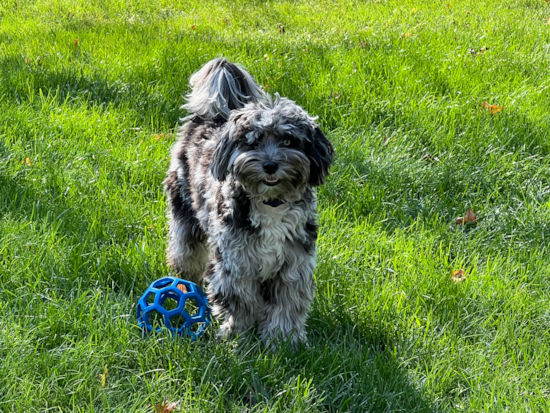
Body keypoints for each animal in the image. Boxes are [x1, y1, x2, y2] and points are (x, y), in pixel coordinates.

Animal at [164, 57, 334, 344]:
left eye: (288, 140)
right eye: (252, 142)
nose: (270, 165)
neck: (271, 203)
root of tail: (209, 116)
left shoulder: (293, 265)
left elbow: (287, 305)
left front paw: (283, 341)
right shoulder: (236, 263)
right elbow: (240, 303)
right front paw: (237, 337)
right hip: (185, 209)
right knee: (185, 248)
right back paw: (183, 279)